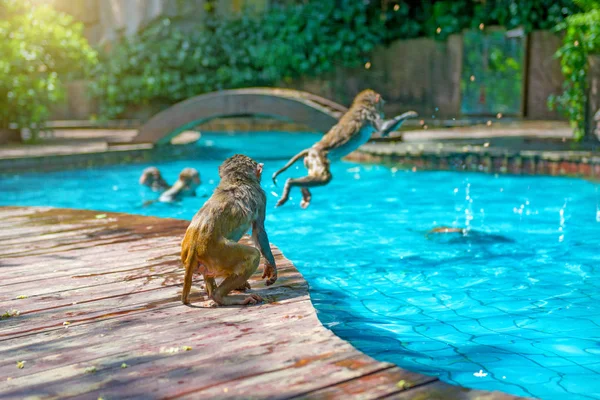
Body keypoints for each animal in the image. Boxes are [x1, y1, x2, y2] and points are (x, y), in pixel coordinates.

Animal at [180, 155, 276, 304]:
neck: (236, 180)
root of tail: (194, 246)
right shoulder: (261, 196)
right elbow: (259, 231)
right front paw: (271, 266)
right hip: (218, 253)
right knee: (253, 255)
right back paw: (219, 296)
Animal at [272, 89, 418, 208]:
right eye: (381, 102)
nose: (383, 107)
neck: (363, 105)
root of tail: (312, 149)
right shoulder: (370, 113)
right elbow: (383, 131)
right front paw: (408, 114)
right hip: (318, 157)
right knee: (324, 177)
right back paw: (291, 183)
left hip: (311, 161)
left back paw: (303, 189)